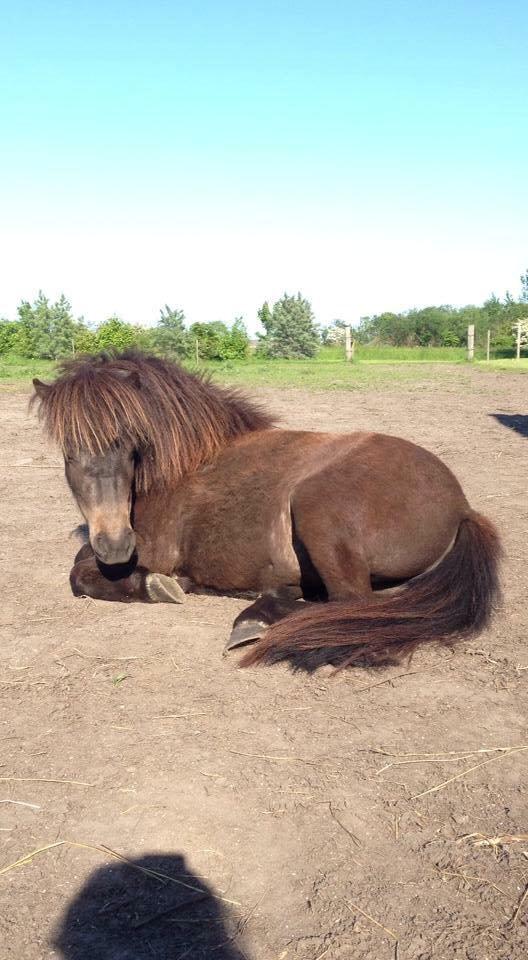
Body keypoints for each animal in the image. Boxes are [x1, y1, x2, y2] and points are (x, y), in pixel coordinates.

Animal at [31, 348, 502, 672]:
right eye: (69, 452)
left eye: (128, 444)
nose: (115, 545)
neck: (185, 464)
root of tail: (462, 507)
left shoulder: (151, 549)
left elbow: (79, 573)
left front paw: (155, 585)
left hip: (318, 510)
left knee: (351, 604)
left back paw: (254, 618)